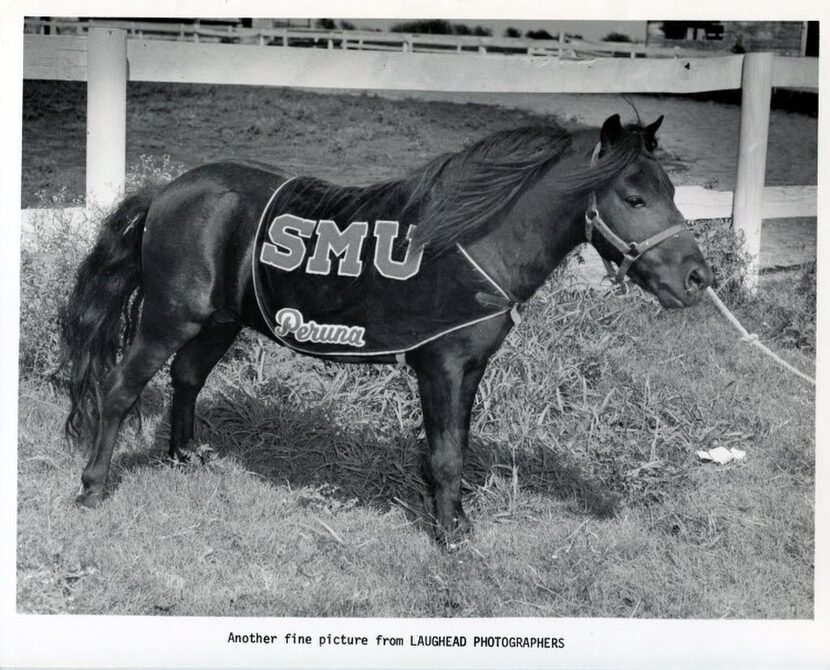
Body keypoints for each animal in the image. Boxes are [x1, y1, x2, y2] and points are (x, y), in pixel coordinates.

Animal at [58, 114, 712, 544]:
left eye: (672, 190)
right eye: (634, 197)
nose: (698, 278)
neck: (471, 243)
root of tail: (166, 190)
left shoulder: (470, 370)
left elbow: (456, 447)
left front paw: (455, 518)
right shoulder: (440, 367)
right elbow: (445, 455)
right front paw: (450, 537)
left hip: (219, 320)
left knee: (187, 378)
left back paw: (184, 458)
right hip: (169, 317)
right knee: (119, 390)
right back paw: (92, 486)